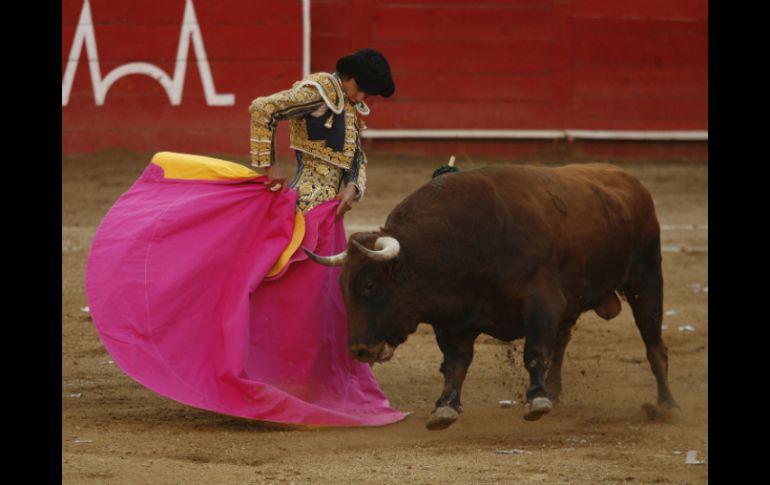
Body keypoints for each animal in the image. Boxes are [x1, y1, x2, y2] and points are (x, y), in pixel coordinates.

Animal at [304, 164, 676, 430]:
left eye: (370, 285)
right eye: (343, 288)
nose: (359, 350)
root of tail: (631, 181)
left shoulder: (541, 301)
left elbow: (534, 351)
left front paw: (536, 400)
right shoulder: (453, 321)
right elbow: (455, 364)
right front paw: (445, 408)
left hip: (646, 277)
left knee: (653, 343)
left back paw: (666, 405)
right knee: (563, 341)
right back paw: (556, 391)